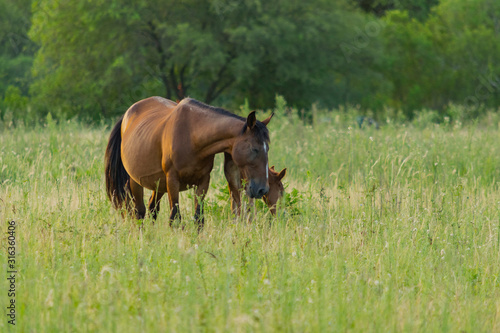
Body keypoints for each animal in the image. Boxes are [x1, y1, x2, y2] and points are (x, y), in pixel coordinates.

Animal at [103, 96, 272, 228]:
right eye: (254, 149)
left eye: (267, 149)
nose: (262, 189)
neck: (192, 136)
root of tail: (127, 115)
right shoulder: (173, 181)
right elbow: (175, 219)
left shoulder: (203, 181)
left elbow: (198, 218)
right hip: (136, 182)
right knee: (140, 212)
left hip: (158, 184)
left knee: (152, 209)